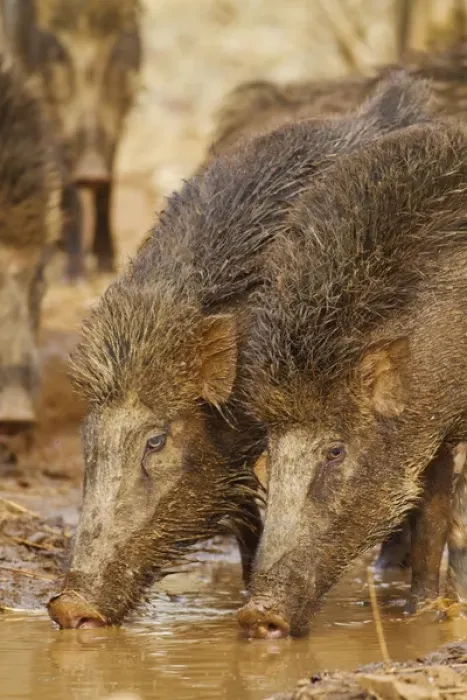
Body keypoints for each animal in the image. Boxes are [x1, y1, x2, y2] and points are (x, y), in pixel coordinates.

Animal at [1, 0, 142, 278]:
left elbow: (107, 188)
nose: (91, 170)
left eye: (115, 48)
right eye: (58, 50)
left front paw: (106, 266)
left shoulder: (120, 110)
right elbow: (69, 190)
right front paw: (74, 277)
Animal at [236, 119, 467, 638]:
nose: (257, 613)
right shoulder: (432, 428)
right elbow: (431, 516)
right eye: (269, 455)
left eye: (336, 451)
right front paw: (418, 612)